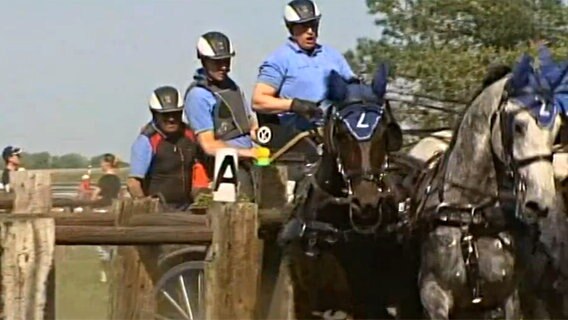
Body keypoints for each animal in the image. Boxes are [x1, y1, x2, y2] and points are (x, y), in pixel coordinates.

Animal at [410, 51, 564, 318]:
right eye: (518, 126)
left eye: (556, 130)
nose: (541, 201)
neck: (469, 215)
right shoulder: (433, 294)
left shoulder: (509, 296)